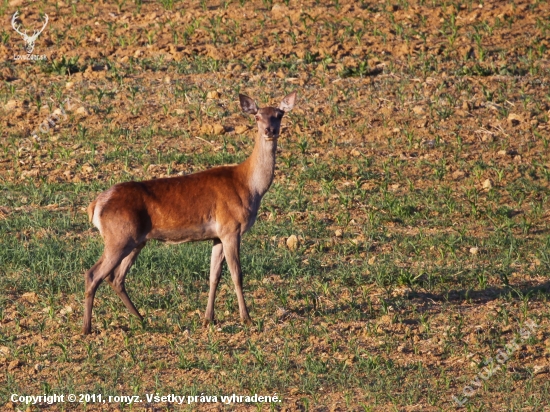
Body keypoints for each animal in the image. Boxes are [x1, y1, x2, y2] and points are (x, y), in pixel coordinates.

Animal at [82, 91, 298, 334]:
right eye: (257, 116)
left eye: (279, 115)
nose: (270, 130)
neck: (249, 186)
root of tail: (95, 205)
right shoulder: (231, 228)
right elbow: (237, 275)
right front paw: (247, 319)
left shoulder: (217, 235)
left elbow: (214, 276)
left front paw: (208, 319)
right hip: (118, 236)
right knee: (93, 274)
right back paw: (87, 328)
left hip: (135, 240)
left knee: (116, 277)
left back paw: (141, 319)